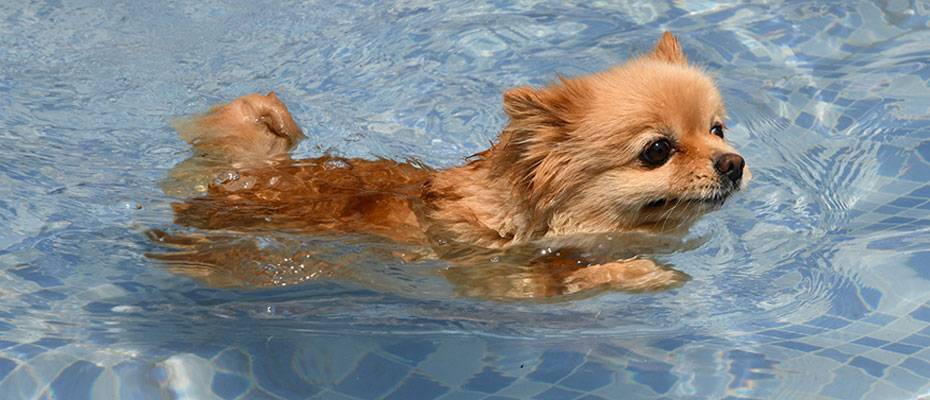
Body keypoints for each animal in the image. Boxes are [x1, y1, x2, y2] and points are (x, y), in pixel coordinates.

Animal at [152, 32, 748, 300]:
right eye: (657, 151)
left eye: (716, 130)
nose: (734, 163)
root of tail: (236, 179)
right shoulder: (493, 275)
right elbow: (561, 279)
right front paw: (640, 273)